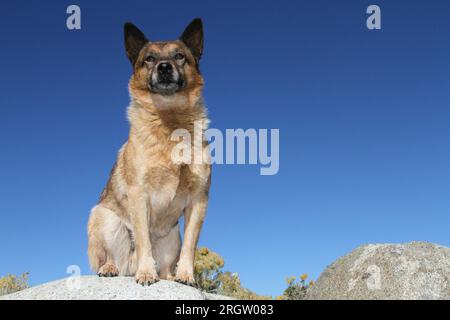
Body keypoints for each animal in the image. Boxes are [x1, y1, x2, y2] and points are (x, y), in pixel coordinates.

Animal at [87, 18, 211, 286]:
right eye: (149, 59)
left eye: (179, 56)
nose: (164, 67)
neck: (169, 121)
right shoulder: (139, 194)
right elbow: (143, 239)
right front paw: (146, 272)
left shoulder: (198, 199)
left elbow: (191, 245)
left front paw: (186, 275)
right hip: (103, 218)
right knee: (110, 256)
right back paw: (113, 268)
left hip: (172, 237)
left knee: (165, 266)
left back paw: (169, 276)